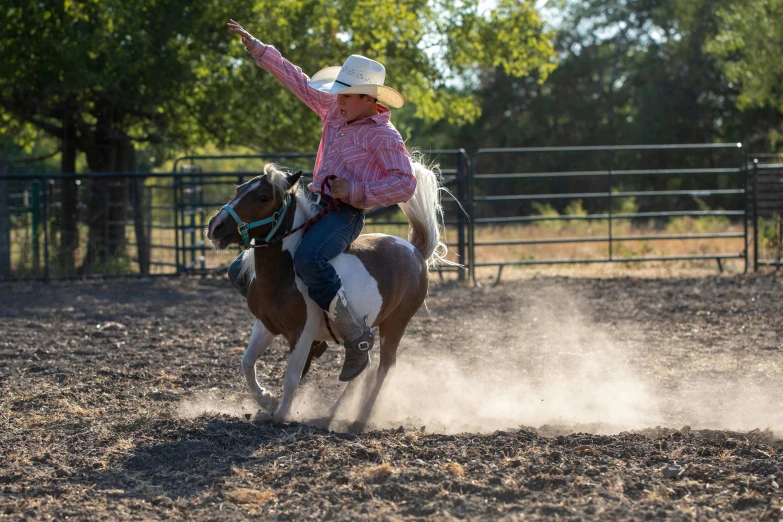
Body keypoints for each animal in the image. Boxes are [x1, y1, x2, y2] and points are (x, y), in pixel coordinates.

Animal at [205, 159, 450, 422]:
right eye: (239, 189)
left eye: (263, 197)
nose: (215, 226)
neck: (283, 272)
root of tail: (414, 250)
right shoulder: (265, 325)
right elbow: (247, 363)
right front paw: (267, 401)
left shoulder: (302, 332)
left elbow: (291, 377)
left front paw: (281, 414)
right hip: (361, 330)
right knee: (361, 365)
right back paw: (333, 411)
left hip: (396, 323)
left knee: (385, 367)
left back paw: (360, 418)